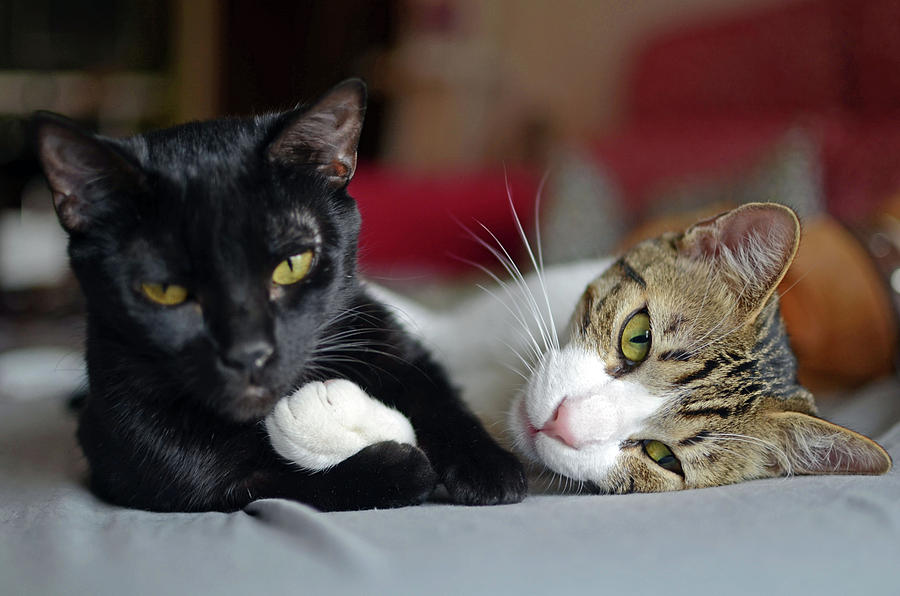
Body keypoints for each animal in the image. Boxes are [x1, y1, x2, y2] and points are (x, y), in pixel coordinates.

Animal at [35, 79, 528, 512]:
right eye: (165, 291)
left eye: (293, 265)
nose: (248, 353)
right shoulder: (139, 457)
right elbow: (263, 482)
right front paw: (397, 469)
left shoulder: (384, 333)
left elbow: (437, 395)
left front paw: (491, 467)